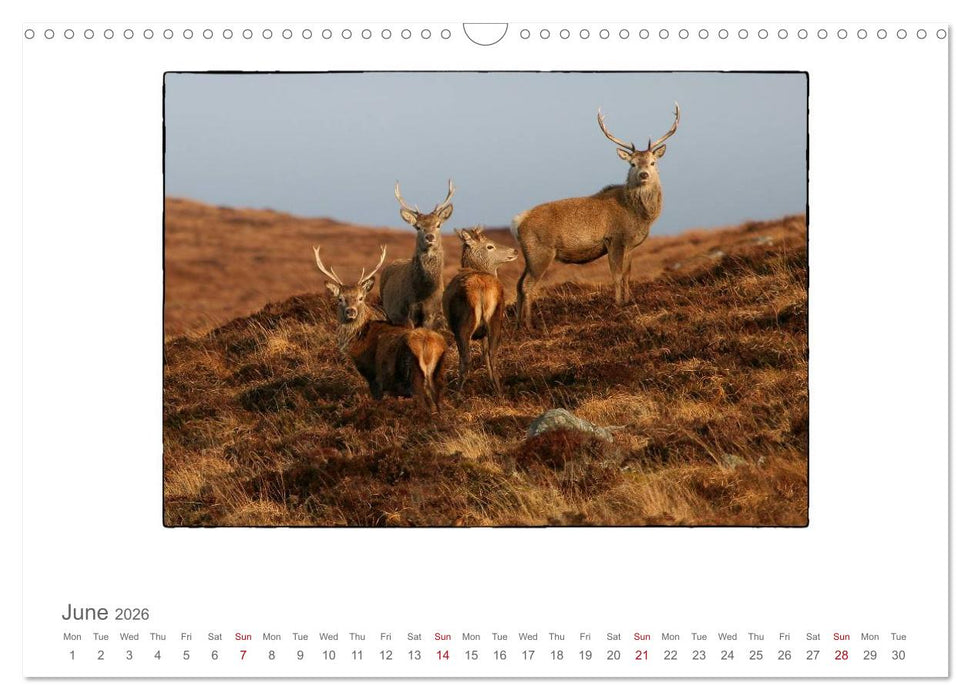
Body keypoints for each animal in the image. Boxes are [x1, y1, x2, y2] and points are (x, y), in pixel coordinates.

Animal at [314, 245, 447, 412]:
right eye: (340, 299)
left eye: (361, 298)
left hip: (414, 376)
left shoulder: (375, 377)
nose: (351, 311)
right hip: (439, 374)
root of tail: (428, 348)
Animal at [379, 180, 455, 329]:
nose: (430, 237)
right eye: (418, 227)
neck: (422, 294)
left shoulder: (432, 313)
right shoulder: (405, 313)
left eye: (438, 224)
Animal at [442, 227, 519, 394]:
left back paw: (457, 393)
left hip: (464, 322)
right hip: (496, 319)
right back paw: (498, 391)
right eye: (490, 246)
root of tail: (482, 288)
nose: (515, 250)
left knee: (466, 358)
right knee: (493, 355)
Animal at [513, 103, 680, 329]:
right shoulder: (614, 239)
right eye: (632, 164)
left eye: (653, 162)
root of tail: (518, 221)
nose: (644, 174)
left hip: (529, 255)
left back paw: (517, 324)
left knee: (518, 283)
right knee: (527, 285)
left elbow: (627, 274)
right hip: (540, 251)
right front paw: (618, 305)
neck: (638, 216)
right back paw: (529, 324)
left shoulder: (629, 245)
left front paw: (629, 301)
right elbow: (616, 275)